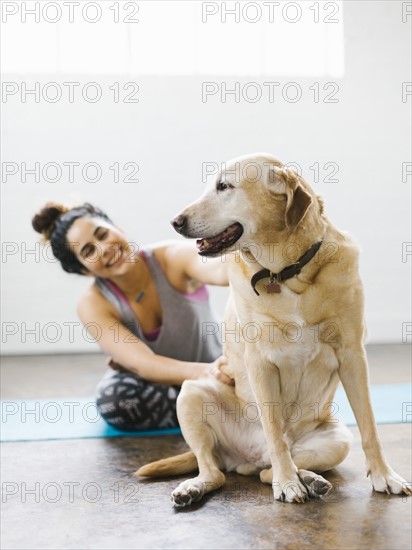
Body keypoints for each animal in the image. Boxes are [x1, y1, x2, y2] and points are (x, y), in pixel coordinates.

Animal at [137, 153, 410, 506]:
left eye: (224, 186)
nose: (176, 221)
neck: (286, 273)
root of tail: (247, 458)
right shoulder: (260, 362)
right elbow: (274, 431)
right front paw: (288, 483)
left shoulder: (352, 354)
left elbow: (370, 427)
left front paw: (383, 475)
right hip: (191, 393)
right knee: (219, 469)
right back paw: (199, 486)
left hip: (336, 440)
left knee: (266, 472)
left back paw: (310, 479)